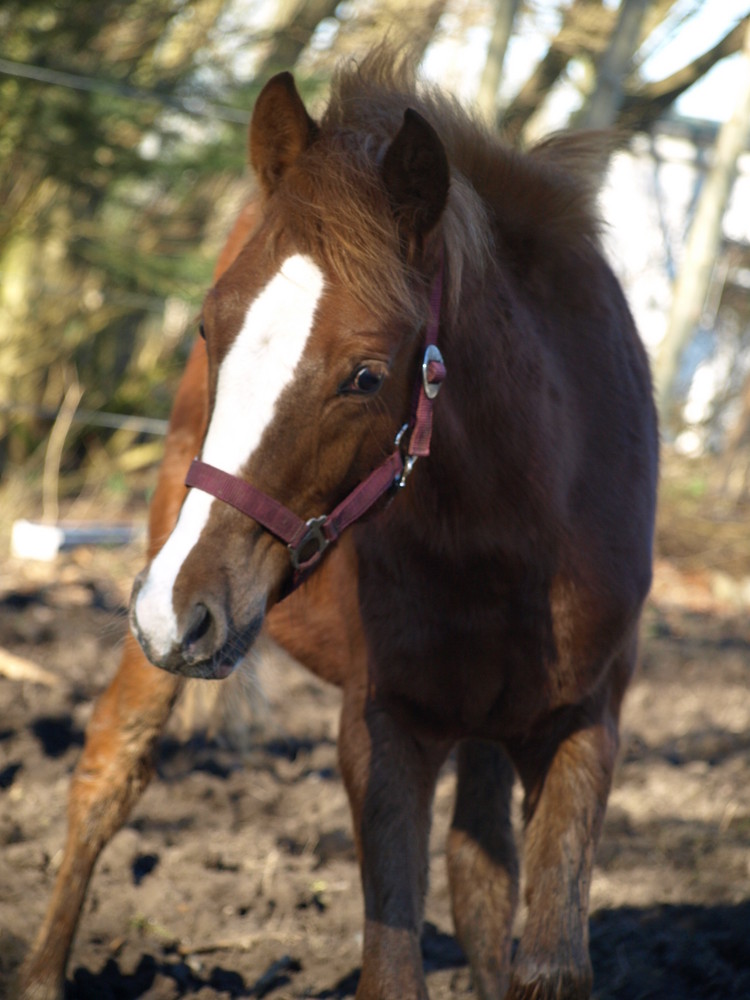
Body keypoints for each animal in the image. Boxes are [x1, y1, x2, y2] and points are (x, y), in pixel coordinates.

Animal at [20, 50, 660, 1000]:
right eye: (208, 328)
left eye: (365, 376)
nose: (179, 614)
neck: (513, 532)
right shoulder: (383, 729)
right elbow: (392, 966)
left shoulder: (581, 726)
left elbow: (541, 952)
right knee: (109, 767)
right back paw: (41, 970)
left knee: (478, 878)